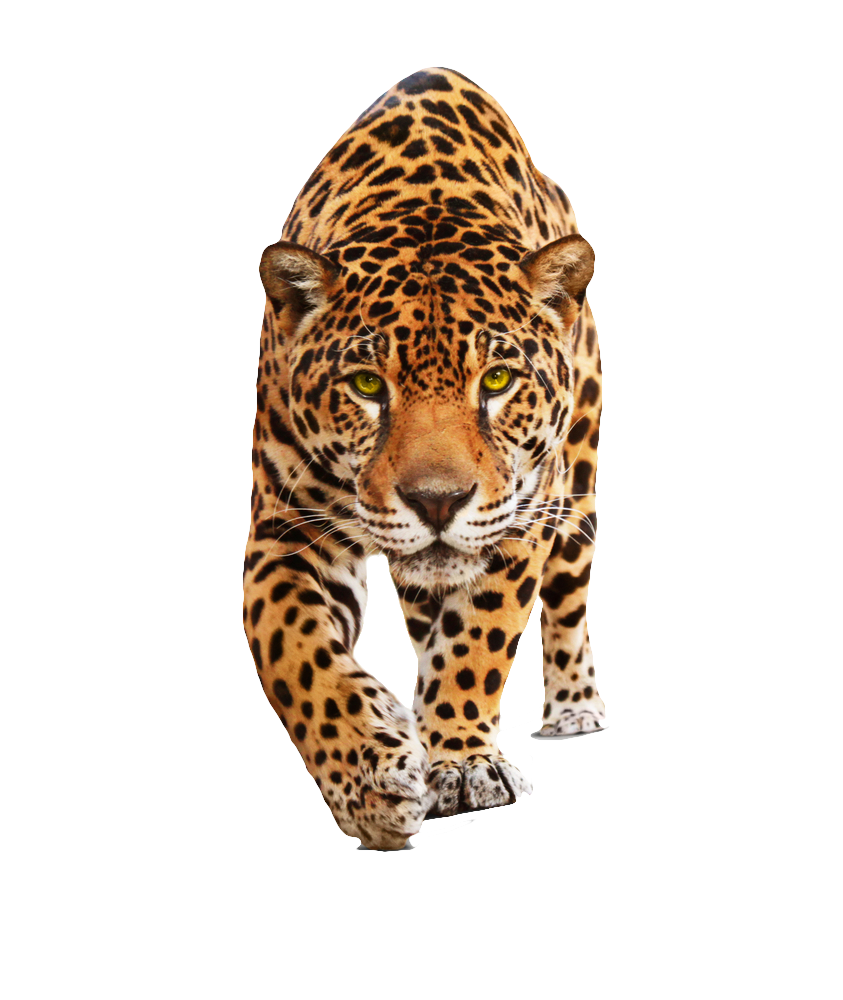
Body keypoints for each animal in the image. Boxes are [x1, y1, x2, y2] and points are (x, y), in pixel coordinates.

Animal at [243, 66, 607, 850]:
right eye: (366, 385)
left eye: (496, 381)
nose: (436, 501)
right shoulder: (283, 532)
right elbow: (293, 654)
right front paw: (369, 780)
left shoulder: (520, 515)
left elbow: (479, 639)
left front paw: (463, 762)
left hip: (580, 487)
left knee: (567, 601)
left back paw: (574, 706)